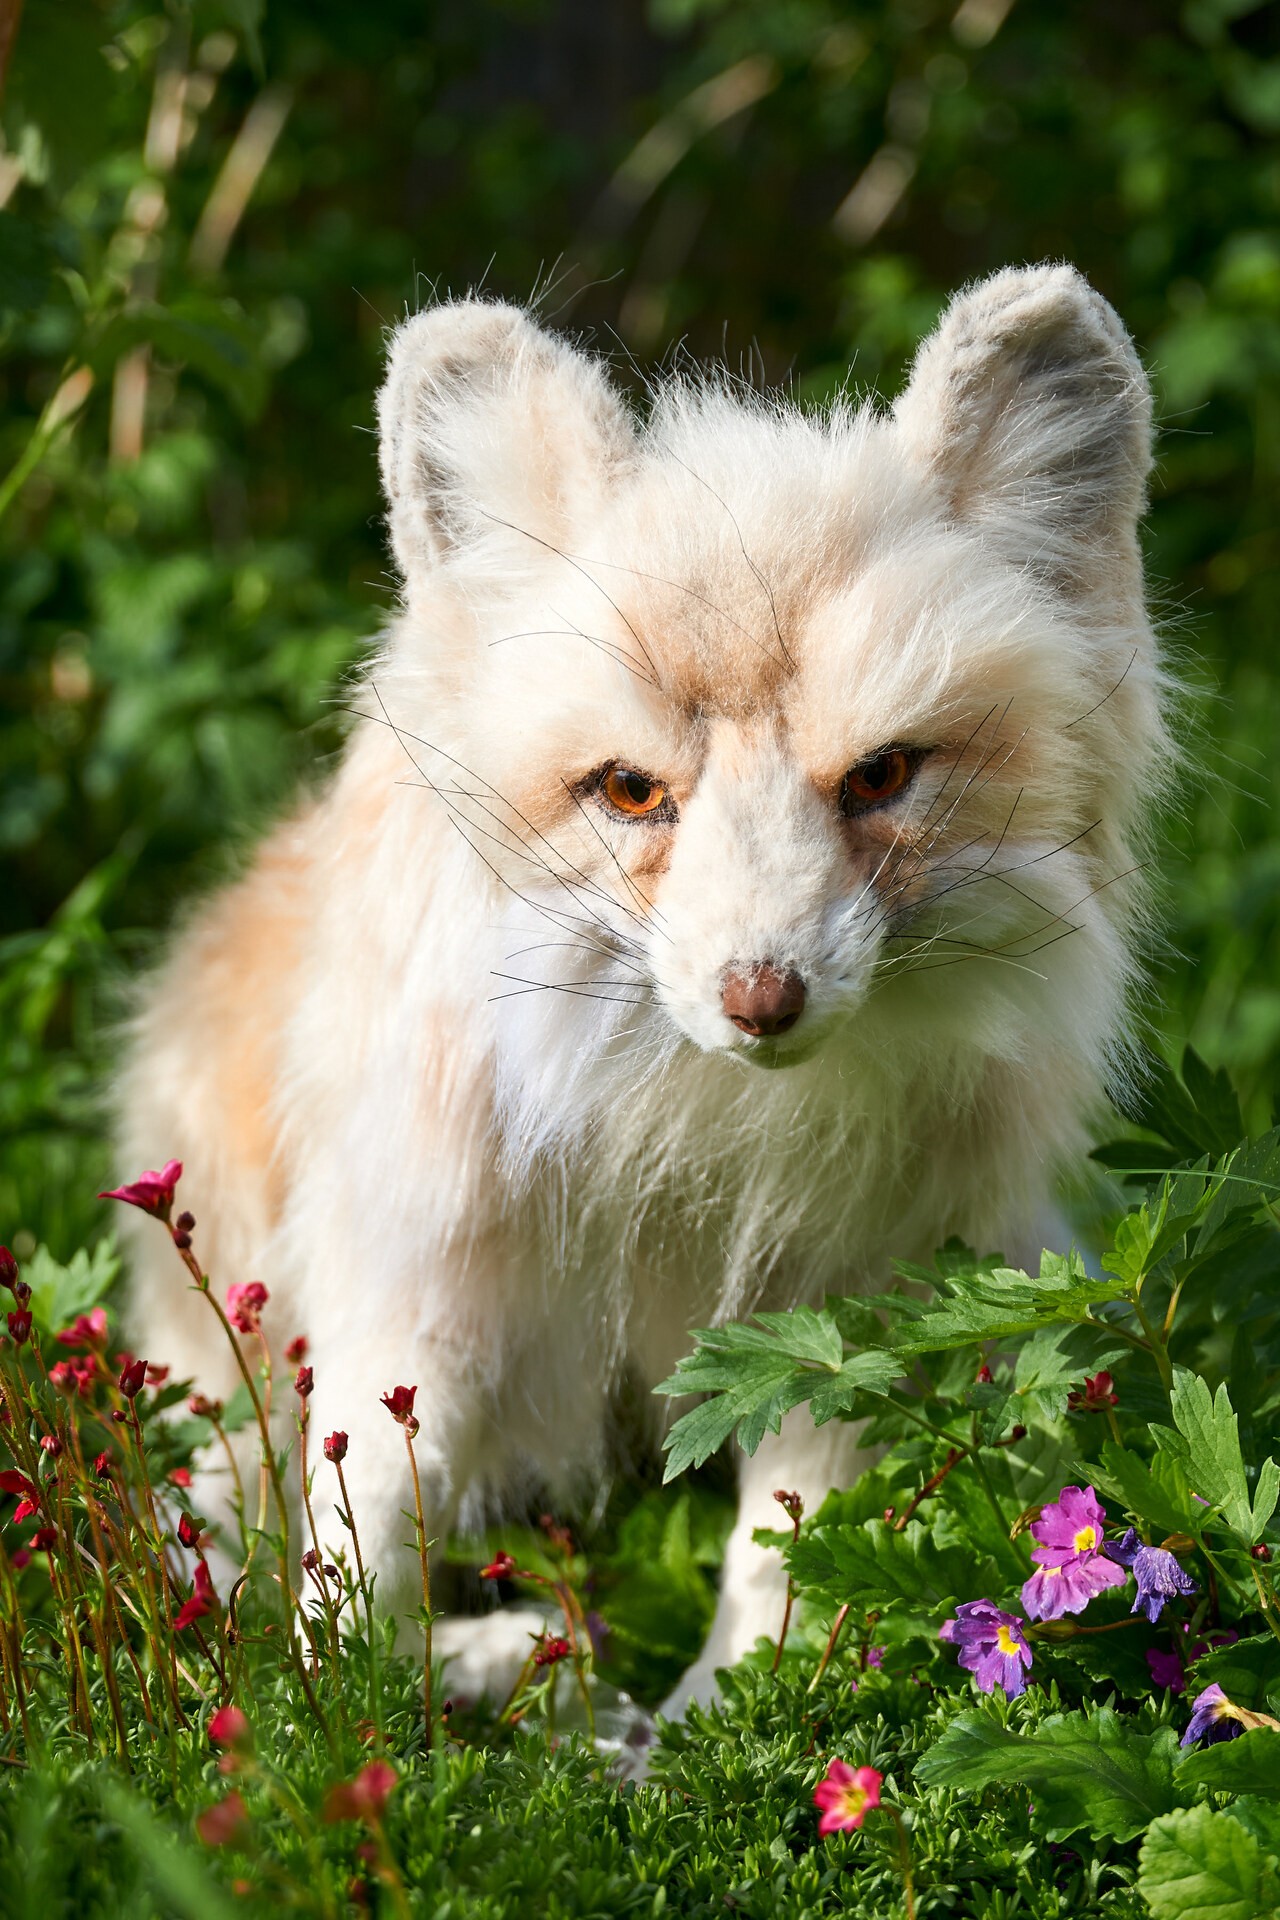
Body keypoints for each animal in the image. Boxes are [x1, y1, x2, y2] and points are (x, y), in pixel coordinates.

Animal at [117, 266, 1174, 1712]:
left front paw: (713, 1730)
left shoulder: (842, 1308)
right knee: (206, 1546)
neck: (687, 1148)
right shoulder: (420, 1274)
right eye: (628, 790)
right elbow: (357, 1556)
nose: (761, 998)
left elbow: (784, 1572)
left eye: (883, 776)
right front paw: (340, 1734)